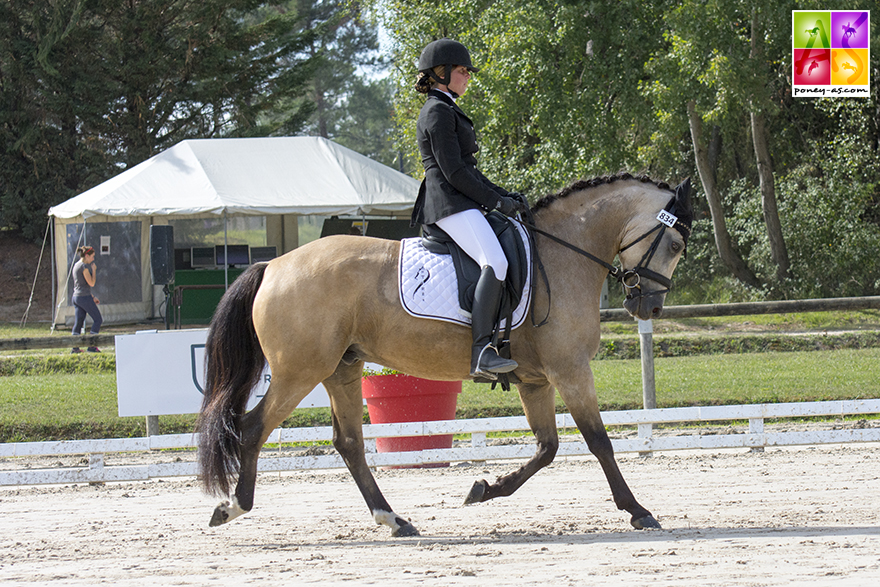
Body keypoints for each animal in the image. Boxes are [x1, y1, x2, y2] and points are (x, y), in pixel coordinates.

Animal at [196, 171, 692, 536]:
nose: (649, 308)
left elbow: (547, 448)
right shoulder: (570, 370)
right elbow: (598, 441)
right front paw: (638, 510)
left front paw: (484, 489)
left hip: (342, 368)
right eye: (675, 244)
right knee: (252, 427)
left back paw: (394, 520)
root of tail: (272, 266)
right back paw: (233, 507)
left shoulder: (536, 380)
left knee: (349, 444)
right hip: (299, 371)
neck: (564, 253)